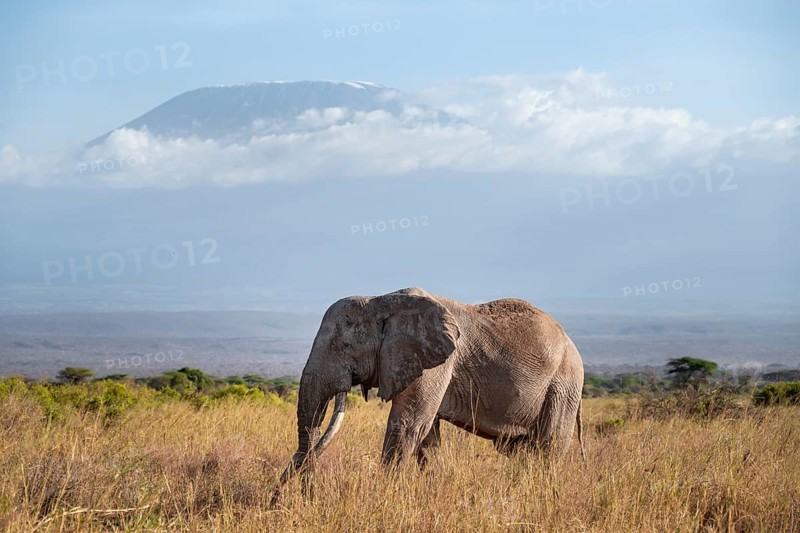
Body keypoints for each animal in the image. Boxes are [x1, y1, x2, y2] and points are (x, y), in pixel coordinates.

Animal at [271, 287, 584, 502]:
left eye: (345, 346)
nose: (275, 499)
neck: (380, 299)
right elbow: (426, 434)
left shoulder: (436, 362)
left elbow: (408, 424)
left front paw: (383, 498)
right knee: (520, 449)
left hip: (564, 383)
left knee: (548, 445)